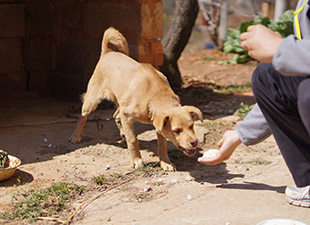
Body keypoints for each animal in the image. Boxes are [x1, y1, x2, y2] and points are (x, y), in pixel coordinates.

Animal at [68, 26, 202, 171]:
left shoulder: (156, 124)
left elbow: (162, 144)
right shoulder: (128, 115)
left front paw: (165, 162)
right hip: (92, 100)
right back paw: (76, 135)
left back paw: (122, 133)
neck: (156, 95)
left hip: (121, 101)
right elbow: (133, 139)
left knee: (115, 115)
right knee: (82, 116)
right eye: (176, 131)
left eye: (191, 126)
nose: (195, 142)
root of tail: (108, 52)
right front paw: (136, 160)